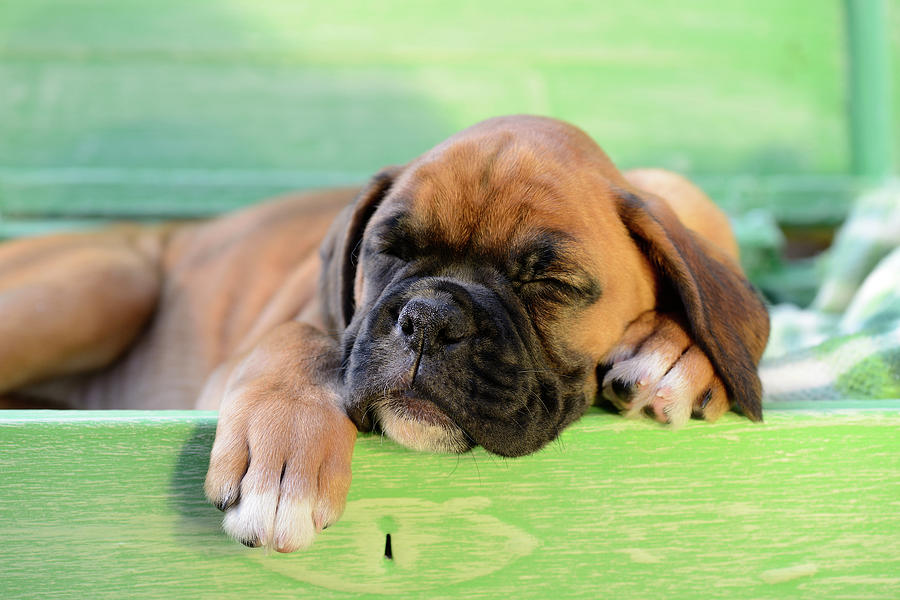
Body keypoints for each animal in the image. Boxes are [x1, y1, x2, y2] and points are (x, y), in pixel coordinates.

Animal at [0, 113, 768, 552]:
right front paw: (283, 459)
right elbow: (304, 341)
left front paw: (677, 352)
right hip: (108, 282)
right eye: (389, 250)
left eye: (550, 283)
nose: (429, 319)